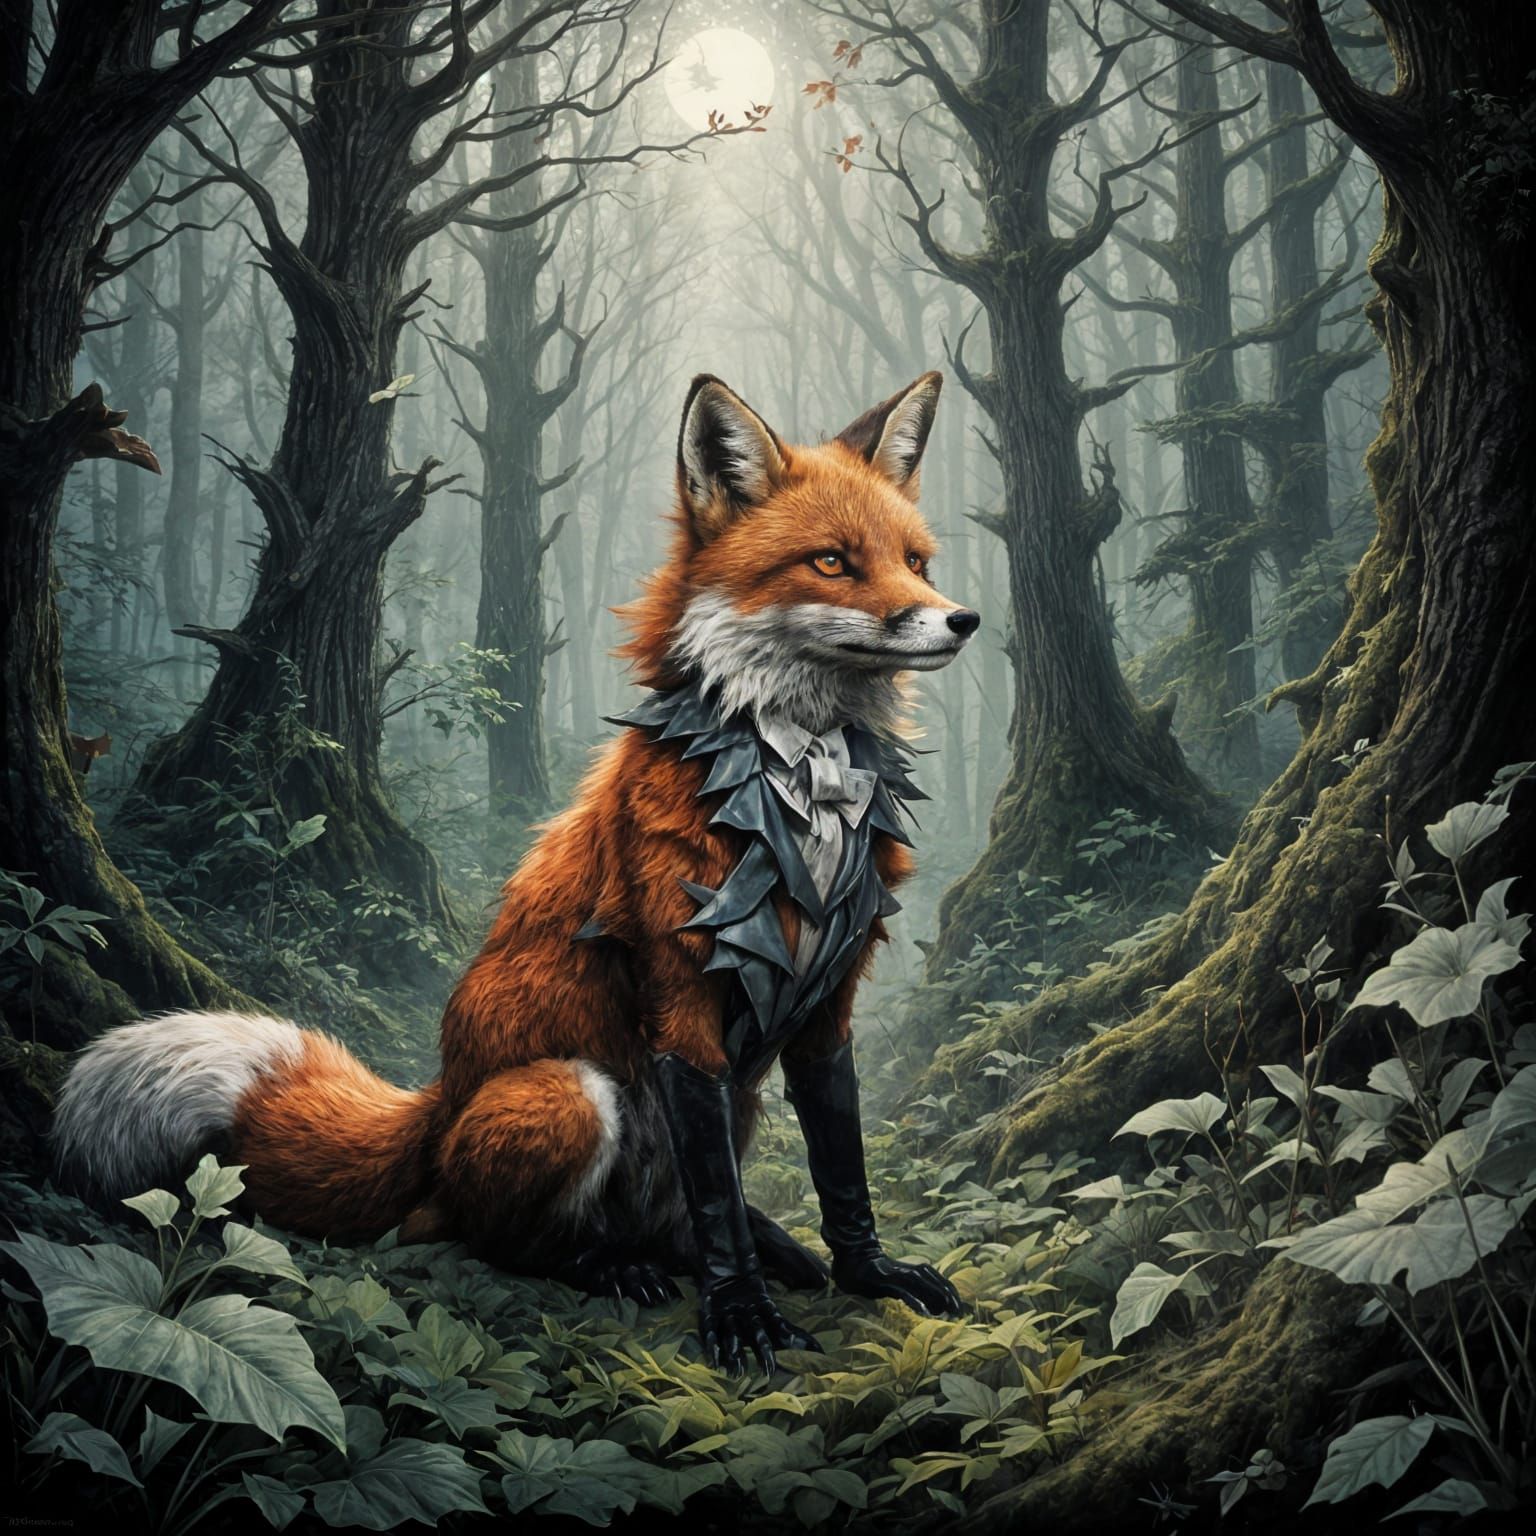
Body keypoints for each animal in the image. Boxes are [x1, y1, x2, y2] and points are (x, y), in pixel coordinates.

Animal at [53, 370, 980, 1374]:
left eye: (917, 562)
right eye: (833, 562)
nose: (963, 620)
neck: (806, 787)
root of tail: (436, 1110)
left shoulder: (828, 998)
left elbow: (839, 1162)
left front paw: (865, 1270)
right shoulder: (682, 1000)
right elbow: (717, 1205)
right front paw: (741, 1314)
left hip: (724, 1099)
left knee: (669, 1220)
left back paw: (770, 1251)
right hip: (572, 1092)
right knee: (487, 1232)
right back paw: (608, 1266)